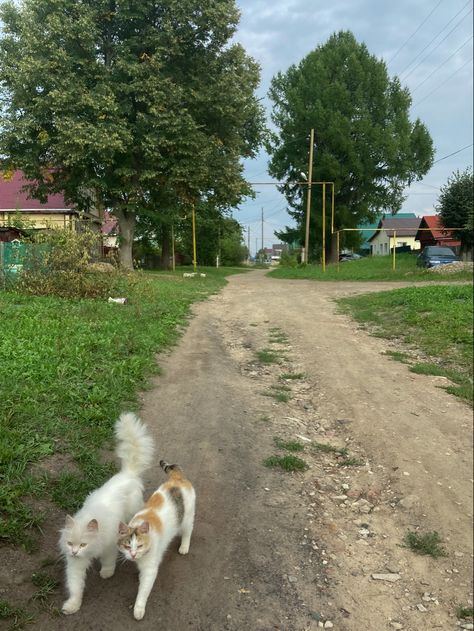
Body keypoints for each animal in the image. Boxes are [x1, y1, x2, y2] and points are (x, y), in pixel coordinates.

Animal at [59, 412, 155, 616]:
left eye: (83, 544)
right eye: (70, 544)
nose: (74, 551)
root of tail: (127, 473)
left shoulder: (110, 545)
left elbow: (109, 561)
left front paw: (106, 573)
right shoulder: (75, 564)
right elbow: (75, 585)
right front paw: (72, 605)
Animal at [118, 462, 196, 620]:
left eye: (139, 545)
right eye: (127, 546)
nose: (133, 555)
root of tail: (177, 478)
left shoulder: (150, 569)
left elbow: (144, 590)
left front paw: (138, 609)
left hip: (187, 518)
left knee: (188, 530)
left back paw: (184, 546)